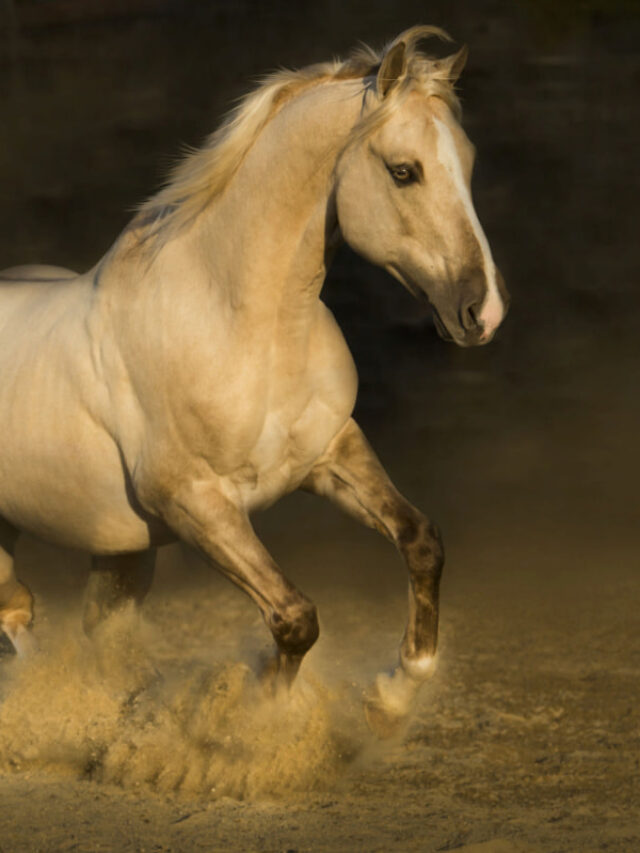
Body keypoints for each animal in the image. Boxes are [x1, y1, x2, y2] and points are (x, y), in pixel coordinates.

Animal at [0, 26, 508, 729]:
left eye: (469, 161)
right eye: (404, 171)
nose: (483, 312)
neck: (245, 331)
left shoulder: (330, 455)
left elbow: (421, 541)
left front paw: (392, 694)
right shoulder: (195, 504)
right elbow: (295, 618)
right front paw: (252, 722)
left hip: (122, 552)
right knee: (17, 612)